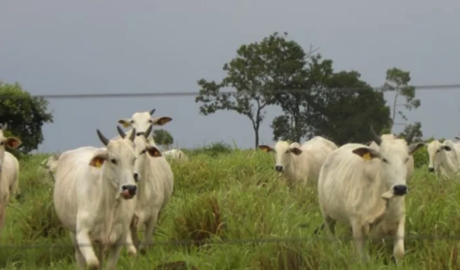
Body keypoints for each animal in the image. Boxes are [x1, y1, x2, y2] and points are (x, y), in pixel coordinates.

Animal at [53, 127, 140, 268]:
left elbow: (109, 265)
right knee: (80, 258)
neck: (109, 204)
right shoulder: (82, 234)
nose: (130, 188)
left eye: (133, 159)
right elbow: (93, 263)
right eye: (113, 160)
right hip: (74, 234)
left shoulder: (119, 240)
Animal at [318, 126, 422, 264]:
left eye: (406, 159)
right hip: (327, 217)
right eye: (384, 159)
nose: (400, 188)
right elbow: (362, 258)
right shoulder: (358, 226)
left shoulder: (399, 221)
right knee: (333, 239)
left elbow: (399, 253)